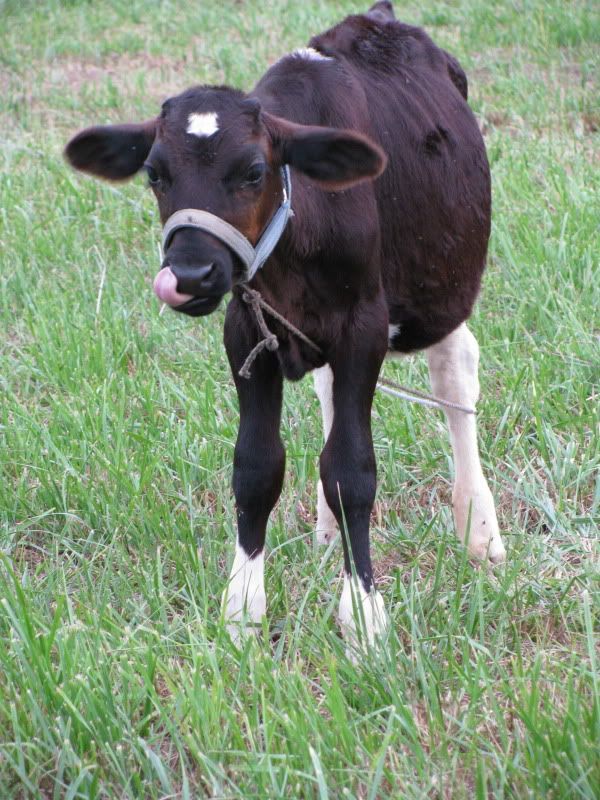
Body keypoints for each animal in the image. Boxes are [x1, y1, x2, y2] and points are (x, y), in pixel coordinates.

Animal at [65, 0, 506, 652]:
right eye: (155, 174)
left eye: (254, 170)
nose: (190, 272)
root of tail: (377, 17)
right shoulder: (247, 330)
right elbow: (256, 467)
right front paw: (242, 613)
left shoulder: (364, 324)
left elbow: (350, 469)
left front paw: (363, 617)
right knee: (329, 392)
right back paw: (327, 534)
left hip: (443, 284)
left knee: (455, 380)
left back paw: (480, 531)